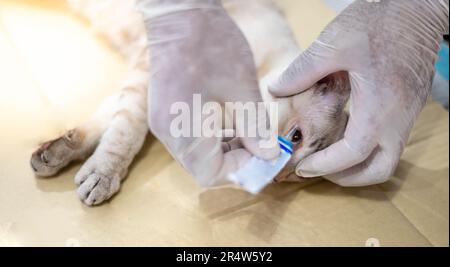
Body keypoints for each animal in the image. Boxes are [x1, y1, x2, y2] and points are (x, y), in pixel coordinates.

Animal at [29, 0, 350, 207]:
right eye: (296, 137)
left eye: (292, 177)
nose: (276, 177)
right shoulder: (154, 66)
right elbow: (126, 132)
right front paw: (103, 174)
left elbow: (110, 117)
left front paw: (58, 154)